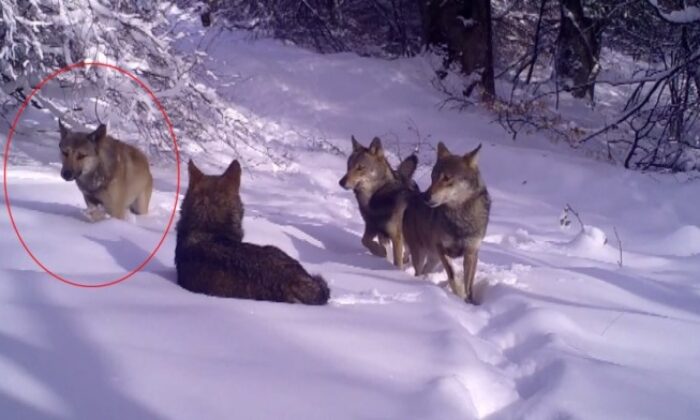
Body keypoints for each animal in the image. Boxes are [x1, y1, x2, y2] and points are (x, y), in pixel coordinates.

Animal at [338, 136, 416, 270]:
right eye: (348, 166)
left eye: (360, 167)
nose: (341, 182)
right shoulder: (372, 228)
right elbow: (364, 241)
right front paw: (380, 252)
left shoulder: (396, 237)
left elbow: (397, 262)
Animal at [400, 142, 492, 302]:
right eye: (432, 177)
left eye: (447, 178)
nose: (426, 197)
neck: (460, 219)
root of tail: (413, 197)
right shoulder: (441, 248)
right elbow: (452, 274)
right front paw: (459, 294)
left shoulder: (471, 252)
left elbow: (469, 285)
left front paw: (469, 302)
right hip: (421, 253)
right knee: (418, 271)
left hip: (433, 259)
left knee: (425, 270)